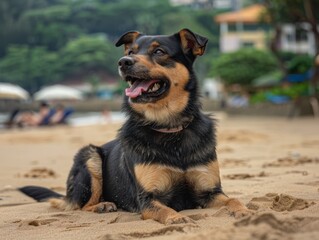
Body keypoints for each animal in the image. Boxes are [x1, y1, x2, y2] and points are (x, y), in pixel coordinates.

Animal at [18, 29, 251, 224]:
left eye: (159, 51)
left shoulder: (210, 192)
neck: (168, 126)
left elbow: (233, 200)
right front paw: (176, 218)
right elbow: (165, 209)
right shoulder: (148, 198)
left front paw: (245, 211)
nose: (123, 62)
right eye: (131, 51)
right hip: (90, 156)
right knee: (82, 205)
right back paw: (102, 205)